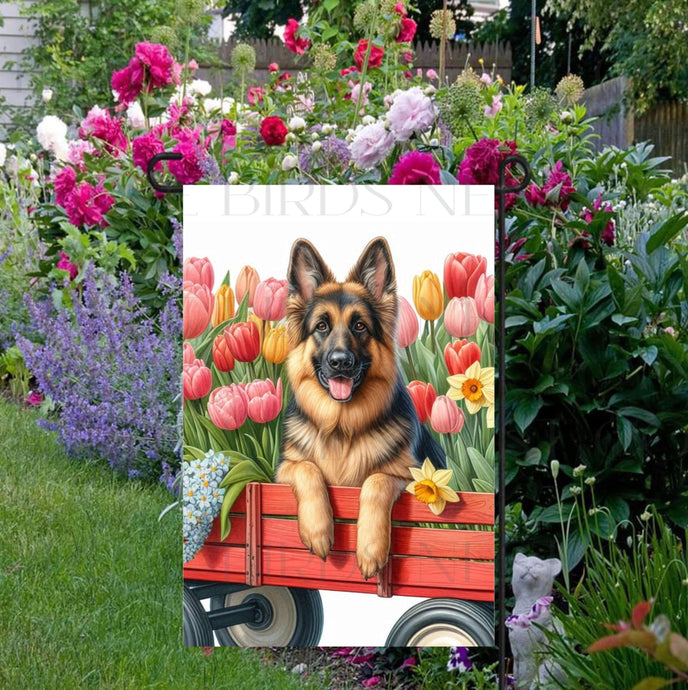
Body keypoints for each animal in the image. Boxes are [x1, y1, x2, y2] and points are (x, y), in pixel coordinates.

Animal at [276, 236, 446, 576]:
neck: (342, 427)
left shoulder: (410, 477)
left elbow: (375, 480)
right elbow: (308, 469)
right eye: (322, 326)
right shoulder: (283, 469)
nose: (340, 362)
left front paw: (370, 549)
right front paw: (318, 530)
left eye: (359, 326)